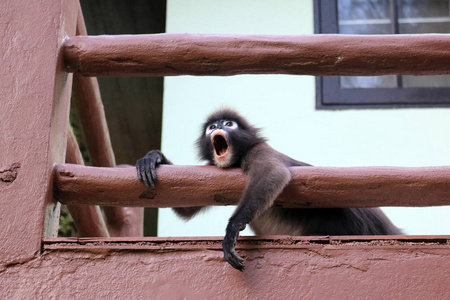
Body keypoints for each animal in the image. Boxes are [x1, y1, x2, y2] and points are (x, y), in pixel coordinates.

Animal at [135, 109, 402, 270]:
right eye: (212, 127)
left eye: (229, 124)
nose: (219, 125)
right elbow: (185, 206)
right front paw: (154, 158)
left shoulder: (259, 151)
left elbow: (274, 174)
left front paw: (233, 227)